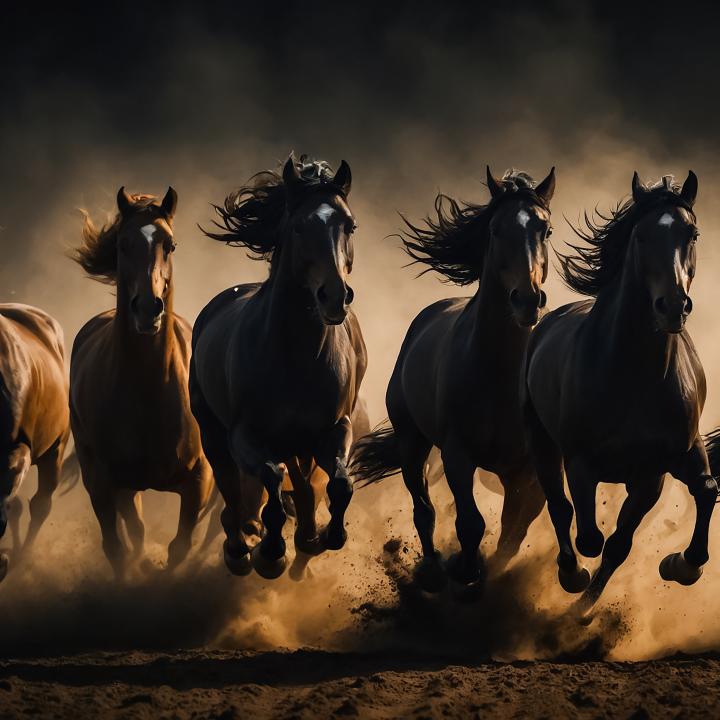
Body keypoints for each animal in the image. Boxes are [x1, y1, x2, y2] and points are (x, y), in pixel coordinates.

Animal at [69, 187, 214, 579]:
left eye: (171, 245)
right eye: (123, 244)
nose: (148, 308)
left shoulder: (199, 481)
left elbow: (179, 546)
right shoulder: (102, 483)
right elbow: (117, 548)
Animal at [190, 154, 367, 580]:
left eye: (350, 225)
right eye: (300, 225)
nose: (335, 296)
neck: (296, 357)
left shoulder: (334, 428)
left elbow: (339, 483)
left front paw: (330, 535)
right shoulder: (245, 436)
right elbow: (270, 478)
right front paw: (270, 552)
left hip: (299, 444)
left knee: (303, 485)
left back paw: (307, 536)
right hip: (213, 431)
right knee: (232, 490)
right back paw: (239, 549)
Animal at [351, 167, 556, 590]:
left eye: (545, 229)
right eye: (495, 229)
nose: (527, 300)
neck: (499, 375)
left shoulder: (526, 470)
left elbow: (513, 532)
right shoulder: (457, 454)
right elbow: (471, 523)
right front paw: (464, 572)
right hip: (412, 442)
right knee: (423, 509)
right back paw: (430, 570)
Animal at [523, 171, 716, 613]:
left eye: (692, 233)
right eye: (641, 236)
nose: (673, 306)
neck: (635, 377)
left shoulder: (654, 471)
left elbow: (621, 543)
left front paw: (680, 565)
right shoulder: (581, 463)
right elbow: (590, 537)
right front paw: (576, 579)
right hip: (541, 440)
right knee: (559, 507)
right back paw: (570, 573)